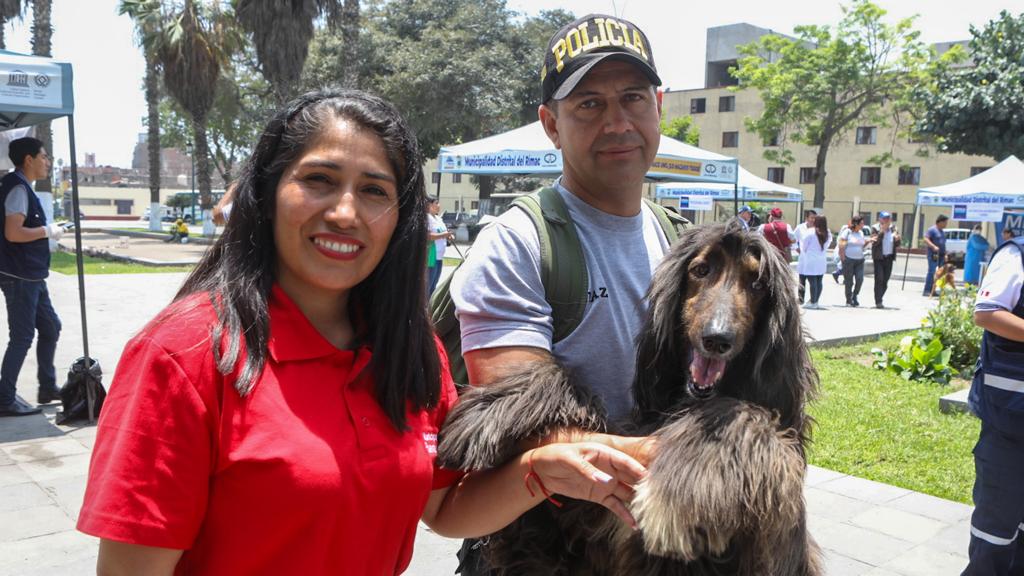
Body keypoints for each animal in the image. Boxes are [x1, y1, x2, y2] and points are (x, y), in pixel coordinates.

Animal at [440, 220, 823, 573]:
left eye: (757, 284)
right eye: (701, 270)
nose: (717, 339)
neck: (688, 401)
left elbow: (745, 415)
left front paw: (678, 489)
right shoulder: (566, 531)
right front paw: (488, 414)